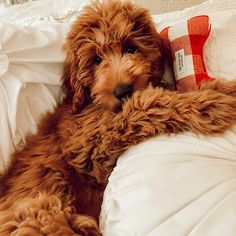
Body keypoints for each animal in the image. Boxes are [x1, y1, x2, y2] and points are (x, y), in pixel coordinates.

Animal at [0, 0, 236, 235]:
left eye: (131, 48)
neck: (92, 102)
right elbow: (145, 103)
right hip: (41, 211)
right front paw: (214, 100)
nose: (123, 90)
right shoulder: (89, 150)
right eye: (96, 59)